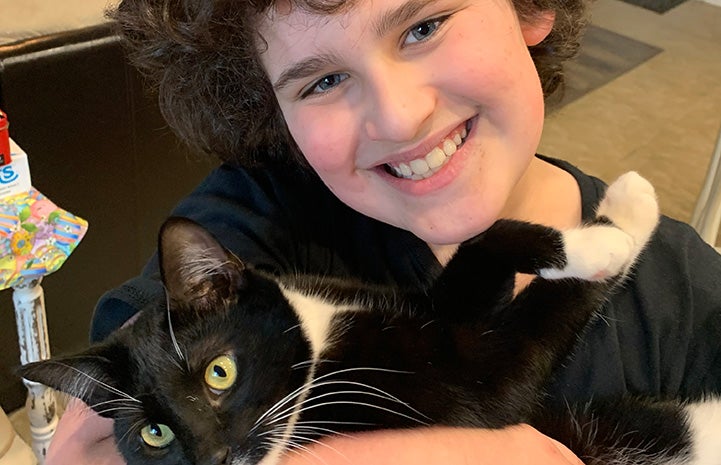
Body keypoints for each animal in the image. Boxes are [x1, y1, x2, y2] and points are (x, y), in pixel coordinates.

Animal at [19, 172, 716, 462]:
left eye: (219, 372)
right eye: (155, 436)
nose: (213, 456)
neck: (322, 342)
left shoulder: (434, 306)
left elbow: (480, 248)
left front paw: (615, 215)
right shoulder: (478, 377)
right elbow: (522, 285)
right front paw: (615, 232)